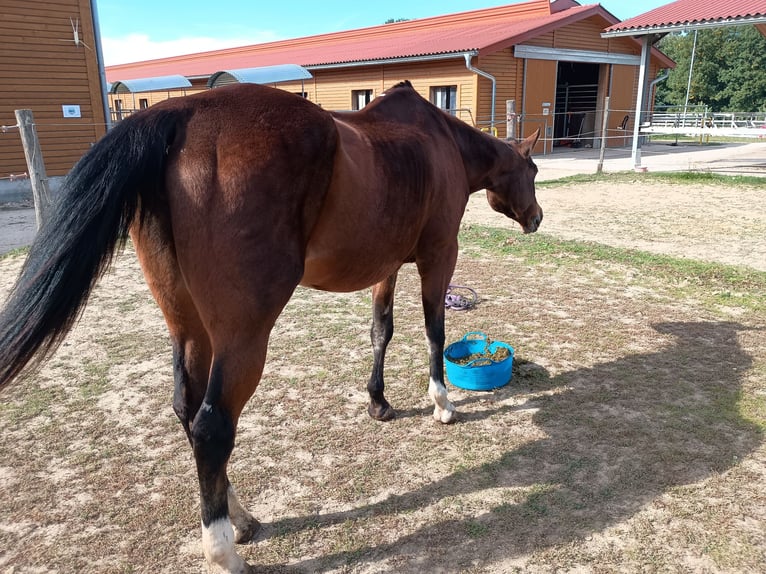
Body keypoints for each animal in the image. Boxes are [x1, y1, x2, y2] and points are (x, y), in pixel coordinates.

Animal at [0, 80, 541, 572]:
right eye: (533, 170)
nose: (536, 217)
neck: (438, 141)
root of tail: (182, 112)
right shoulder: (438, 257)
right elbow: (434, 331)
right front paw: (442, 403)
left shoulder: (386, 266)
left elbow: (380, 332)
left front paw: (379, 402)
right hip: (243, 336)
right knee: (212, 427)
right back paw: (224, 553)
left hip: (189, 329)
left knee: (187, 411)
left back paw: (240, 519)